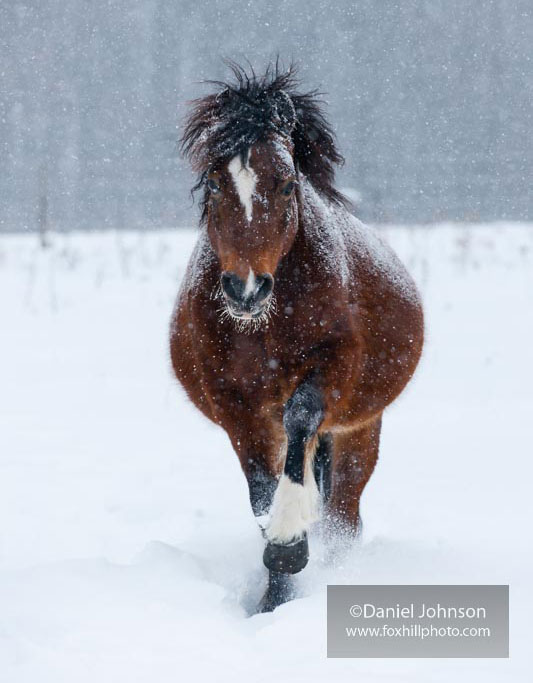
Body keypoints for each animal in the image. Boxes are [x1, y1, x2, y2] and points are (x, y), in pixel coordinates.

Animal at [168, 61, 422, 612]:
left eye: (286, 184)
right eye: (214, 183)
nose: (245, 288)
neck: (264, 326)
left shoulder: (332, 372)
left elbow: (302, 418)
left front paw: (288, 542)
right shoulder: (234, 404)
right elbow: (260, 488)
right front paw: (275, 590)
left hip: (359, 432)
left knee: (344, 517)